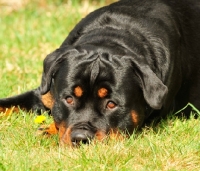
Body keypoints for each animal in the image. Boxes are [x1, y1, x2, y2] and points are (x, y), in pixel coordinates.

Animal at [0, 0, 200, 146]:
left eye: (111, 104)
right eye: (69, 99)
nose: (81, 139)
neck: (113, 36)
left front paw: (48, 131)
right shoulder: (43, 93)